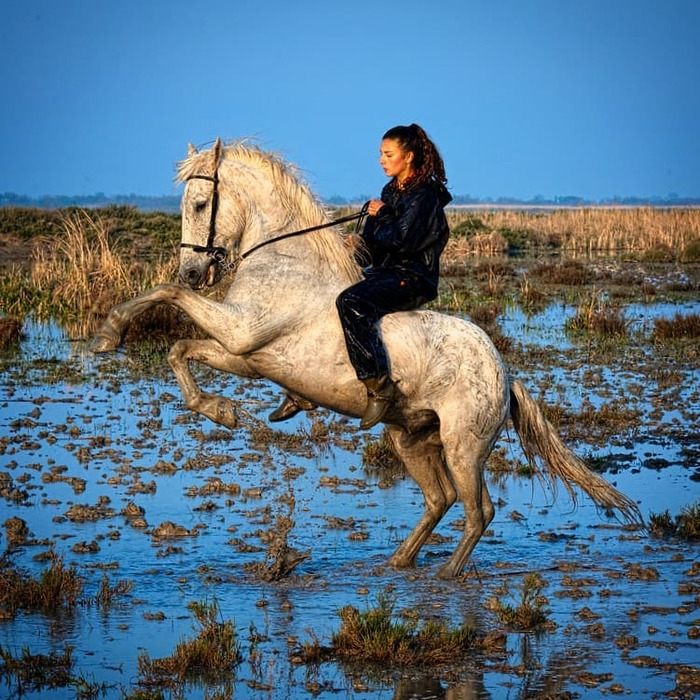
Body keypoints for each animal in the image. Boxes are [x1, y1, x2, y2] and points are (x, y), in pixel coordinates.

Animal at [93, 138, 644, 580]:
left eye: (201, 202)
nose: (193, 271)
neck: (283, 264)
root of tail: (503, 374)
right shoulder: (246, 355)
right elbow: (178, 348)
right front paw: (219, 409)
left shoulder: (240, 332)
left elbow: (168, 299)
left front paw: (111, 333)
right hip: (410, 439)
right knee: (439, 500)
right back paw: (397, 562)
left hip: (464, 446)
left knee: (478, 510)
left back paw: (446, 574)